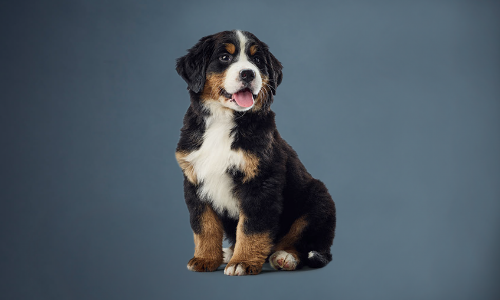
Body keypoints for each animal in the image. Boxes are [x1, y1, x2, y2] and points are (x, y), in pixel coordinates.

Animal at [176, 29, 336, 276]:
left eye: (257, 60)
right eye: (224, 57)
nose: (248, 73)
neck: (223, 121)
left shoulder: (261, 181)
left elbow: (252, 228)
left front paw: (243, 262)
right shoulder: (194, 180)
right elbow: (204, 226)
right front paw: (204, 259)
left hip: (318, 201)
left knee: (303, 240)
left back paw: (285, 257)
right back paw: (228, 252)